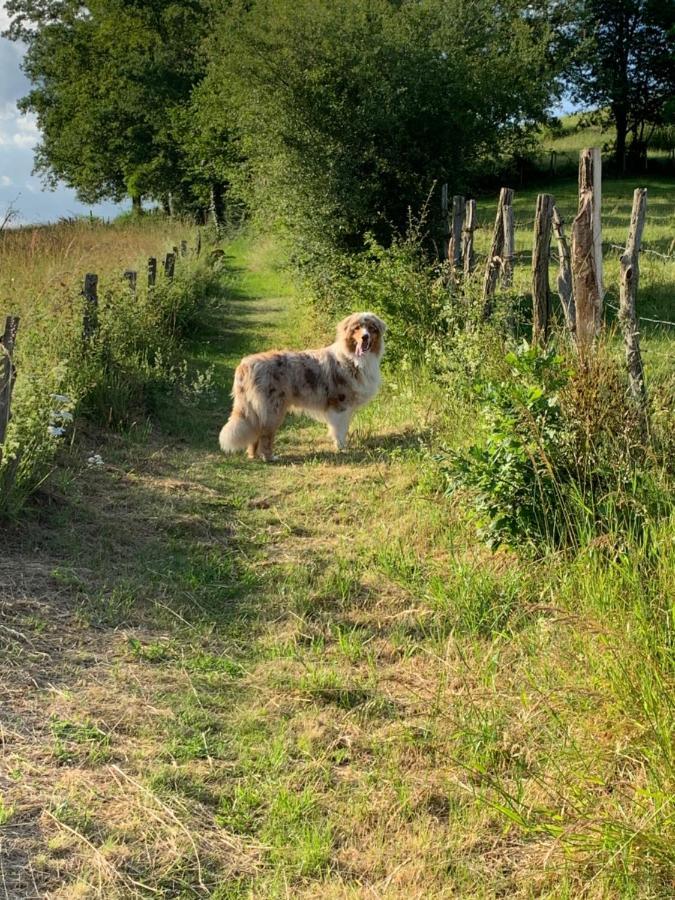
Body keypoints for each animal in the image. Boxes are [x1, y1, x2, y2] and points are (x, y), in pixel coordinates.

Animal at [220, 312, 386, 464]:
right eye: (357, 328)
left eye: (371, 328)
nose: (365, 337)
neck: (352, 358)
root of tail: (245, 364)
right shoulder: (339, 405)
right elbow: (339, 430)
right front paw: (342, 448)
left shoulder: (346, 408)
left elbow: (343, 428)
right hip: (272, 409)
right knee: (265, 436)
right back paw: (269, 457)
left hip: (257, 410)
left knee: (256, 434)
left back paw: (253, 456)